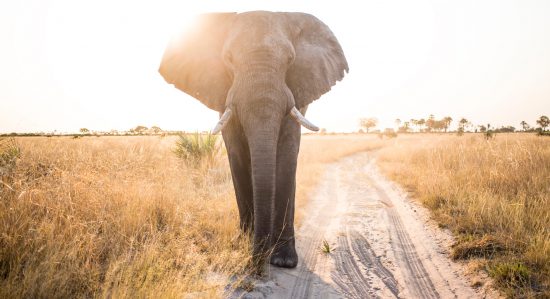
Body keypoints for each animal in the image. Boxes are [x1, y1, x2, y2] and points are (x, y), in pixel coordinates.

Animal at [160, 11, 350, 270]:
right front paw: (244, 243)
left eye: (290, 59)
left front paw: (283, 261)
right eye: (228, 59)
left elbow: (287, 154)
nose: (257, 260)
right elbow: (237, 154)